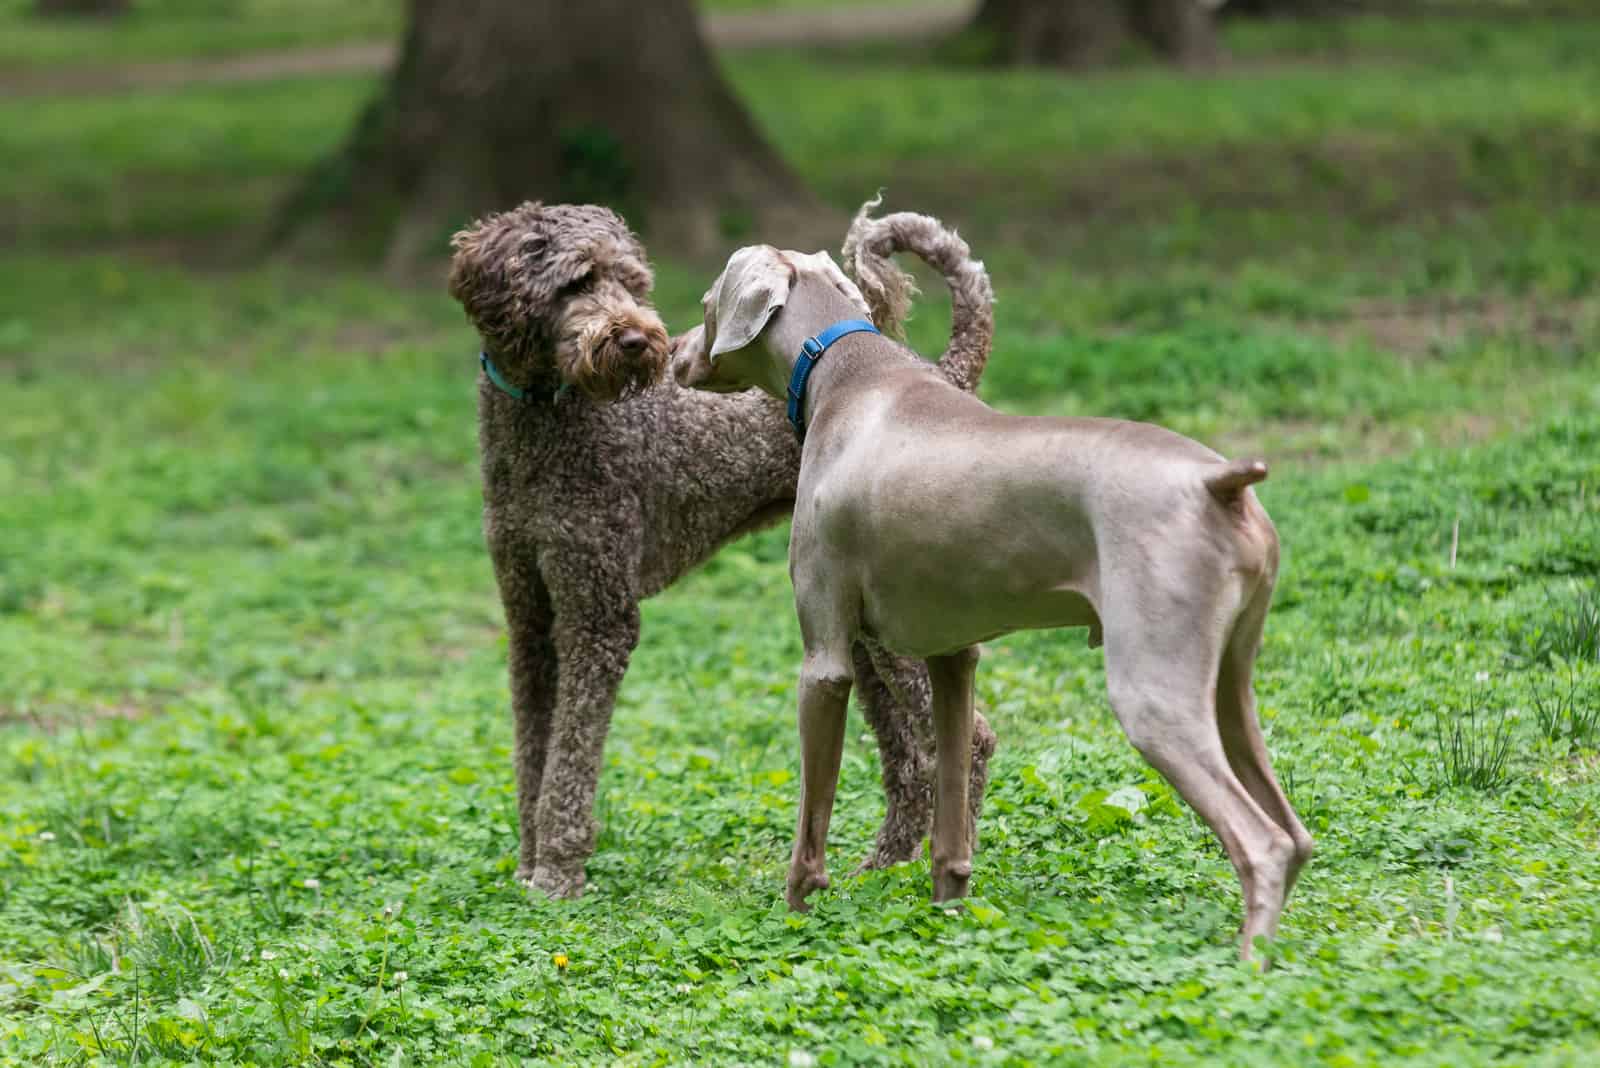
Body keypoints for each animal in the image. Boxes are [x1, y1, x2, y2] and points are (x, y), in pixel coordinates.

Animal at [451, 202, 992, 901]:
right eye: (577, 282)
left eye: (632, 281)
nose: (640, 341)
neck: (548, 417)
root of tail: (941, 372)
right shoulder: (531, 618)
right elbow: (533, 753)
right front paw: (529, 864)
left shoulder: (598, 617)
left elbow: (569, 762)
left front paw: (558, 873)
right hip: (862, 627)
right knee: (910, 756)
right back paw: (883, 867)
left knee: (968, 742)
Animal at [675, 202, 1312, 959]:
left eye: (706, 302)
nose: (674, 352)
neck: (846, 368)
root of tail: (1220, 483)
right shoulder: (953, 657)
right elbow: (952, 813)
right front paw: (947, 907)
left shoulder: (825, 661)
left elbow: (812, 821)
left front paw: (797, 911)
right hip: (1228, 684)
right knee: (1296, 833)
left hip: (1153, 693)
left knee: (1263, 843)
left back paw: (1248, 963)